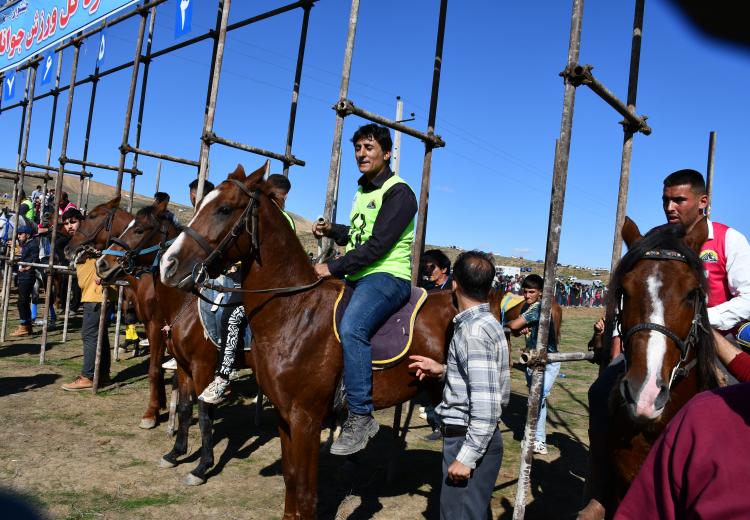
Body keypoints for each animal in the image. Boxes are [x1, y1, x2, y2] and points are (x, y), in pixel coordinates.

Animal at [94, 201, 256, 486]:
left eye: (139, 229)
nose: (103, 264)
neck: (186, 306)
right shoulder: (183, 365)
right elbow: (183, 407)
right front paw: (175, 453)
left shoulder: (202, 368)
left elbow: (204, 414)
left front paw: (202, 467)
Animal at [160, 165, 458, 516]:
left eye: (224, 208)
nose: (168, 264)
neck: (295, 313)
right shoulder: (285, 416)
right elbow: (292, 481)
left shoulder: (306, 419)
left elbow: (304, 490)